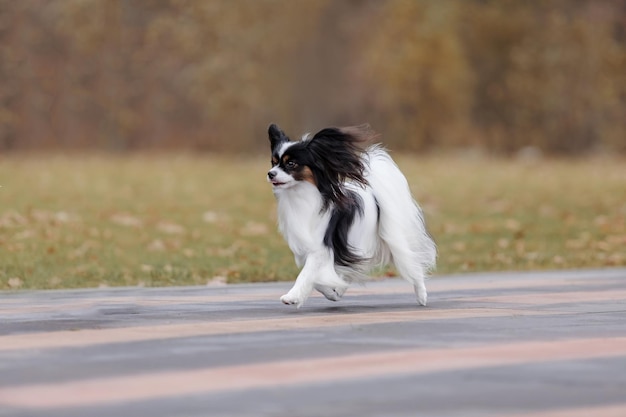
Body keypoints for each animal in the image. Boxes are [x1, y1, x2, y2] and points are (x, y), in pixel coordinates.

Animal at [266, 122, 436, 306]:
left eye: (291, 163)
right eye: (273, 163)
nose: (270, 173)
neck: (300, 194)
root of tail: (374, 193)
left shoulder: (320, 247)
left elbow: (306, 274)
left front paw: (292, 296)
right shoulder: (308, 249)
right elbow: (319, 279)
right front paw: (331, 291)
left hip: (391, 239)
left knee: (412, 263)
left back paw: (422, 296)